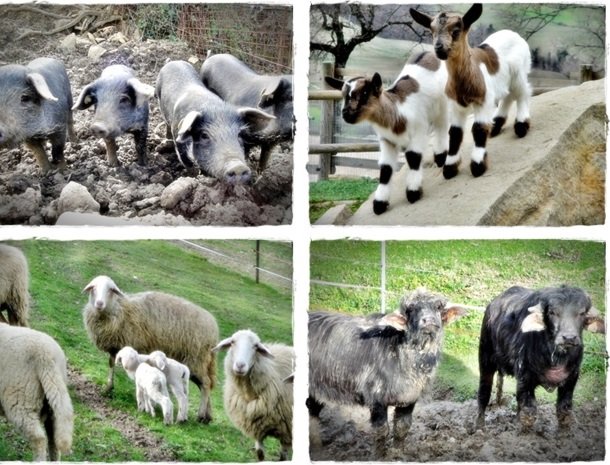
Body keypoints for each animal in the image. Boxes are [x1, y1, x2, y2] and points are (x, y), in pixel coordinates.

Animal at [83, 276, 218, 424]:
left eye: (111, 290)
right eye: (93, 287)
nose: (99, 304)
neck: (121, 310)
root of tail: (214, 330)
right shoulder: (115, 348)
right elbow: (111, 365)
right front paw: (108, 388)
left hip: (196, 358)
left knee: (205, 384)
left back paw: (200, 414)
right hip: (201, 362)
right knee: (206, 385)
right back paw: (207, 416)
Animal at [211, 328, 292, 458]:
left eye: (255, 346)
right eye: (232, 342)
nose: (240, 365)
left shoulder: (287, 433)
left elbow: (283, 458)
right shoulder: (257, 429)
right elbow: (260, 454)